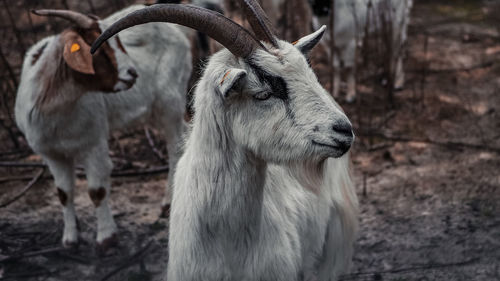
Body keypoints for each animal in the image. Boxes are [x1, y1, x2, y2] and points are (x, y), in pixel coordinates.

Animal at [15, 4, 191, 248]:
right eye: (96, 45)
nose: (132, 74)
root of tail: (176, 31)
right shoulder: (51, 154)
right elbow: (64, 193)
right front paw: (70, 238)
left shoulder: (94, 142)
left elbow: (96, 190)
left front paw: (106, 237)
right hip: (154, 111)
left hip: (169, 103)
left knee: (175, 147)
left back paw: (167, 204)